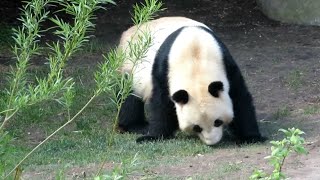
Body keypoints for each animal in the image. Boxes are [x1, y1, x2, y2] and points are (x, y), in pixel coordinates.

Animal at [116, 15, 264, 145]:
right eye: (196, 127)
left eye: (218, 121)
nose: (212, 142)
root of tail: (129, 30)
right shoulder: (163, 70)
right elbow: (161, 103)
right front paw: (154, 136)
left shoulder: (226, 64)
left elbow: (239, 98)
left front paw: (251, 137)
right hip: (129, 64)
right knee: (128, 96)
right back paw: (137, 125)